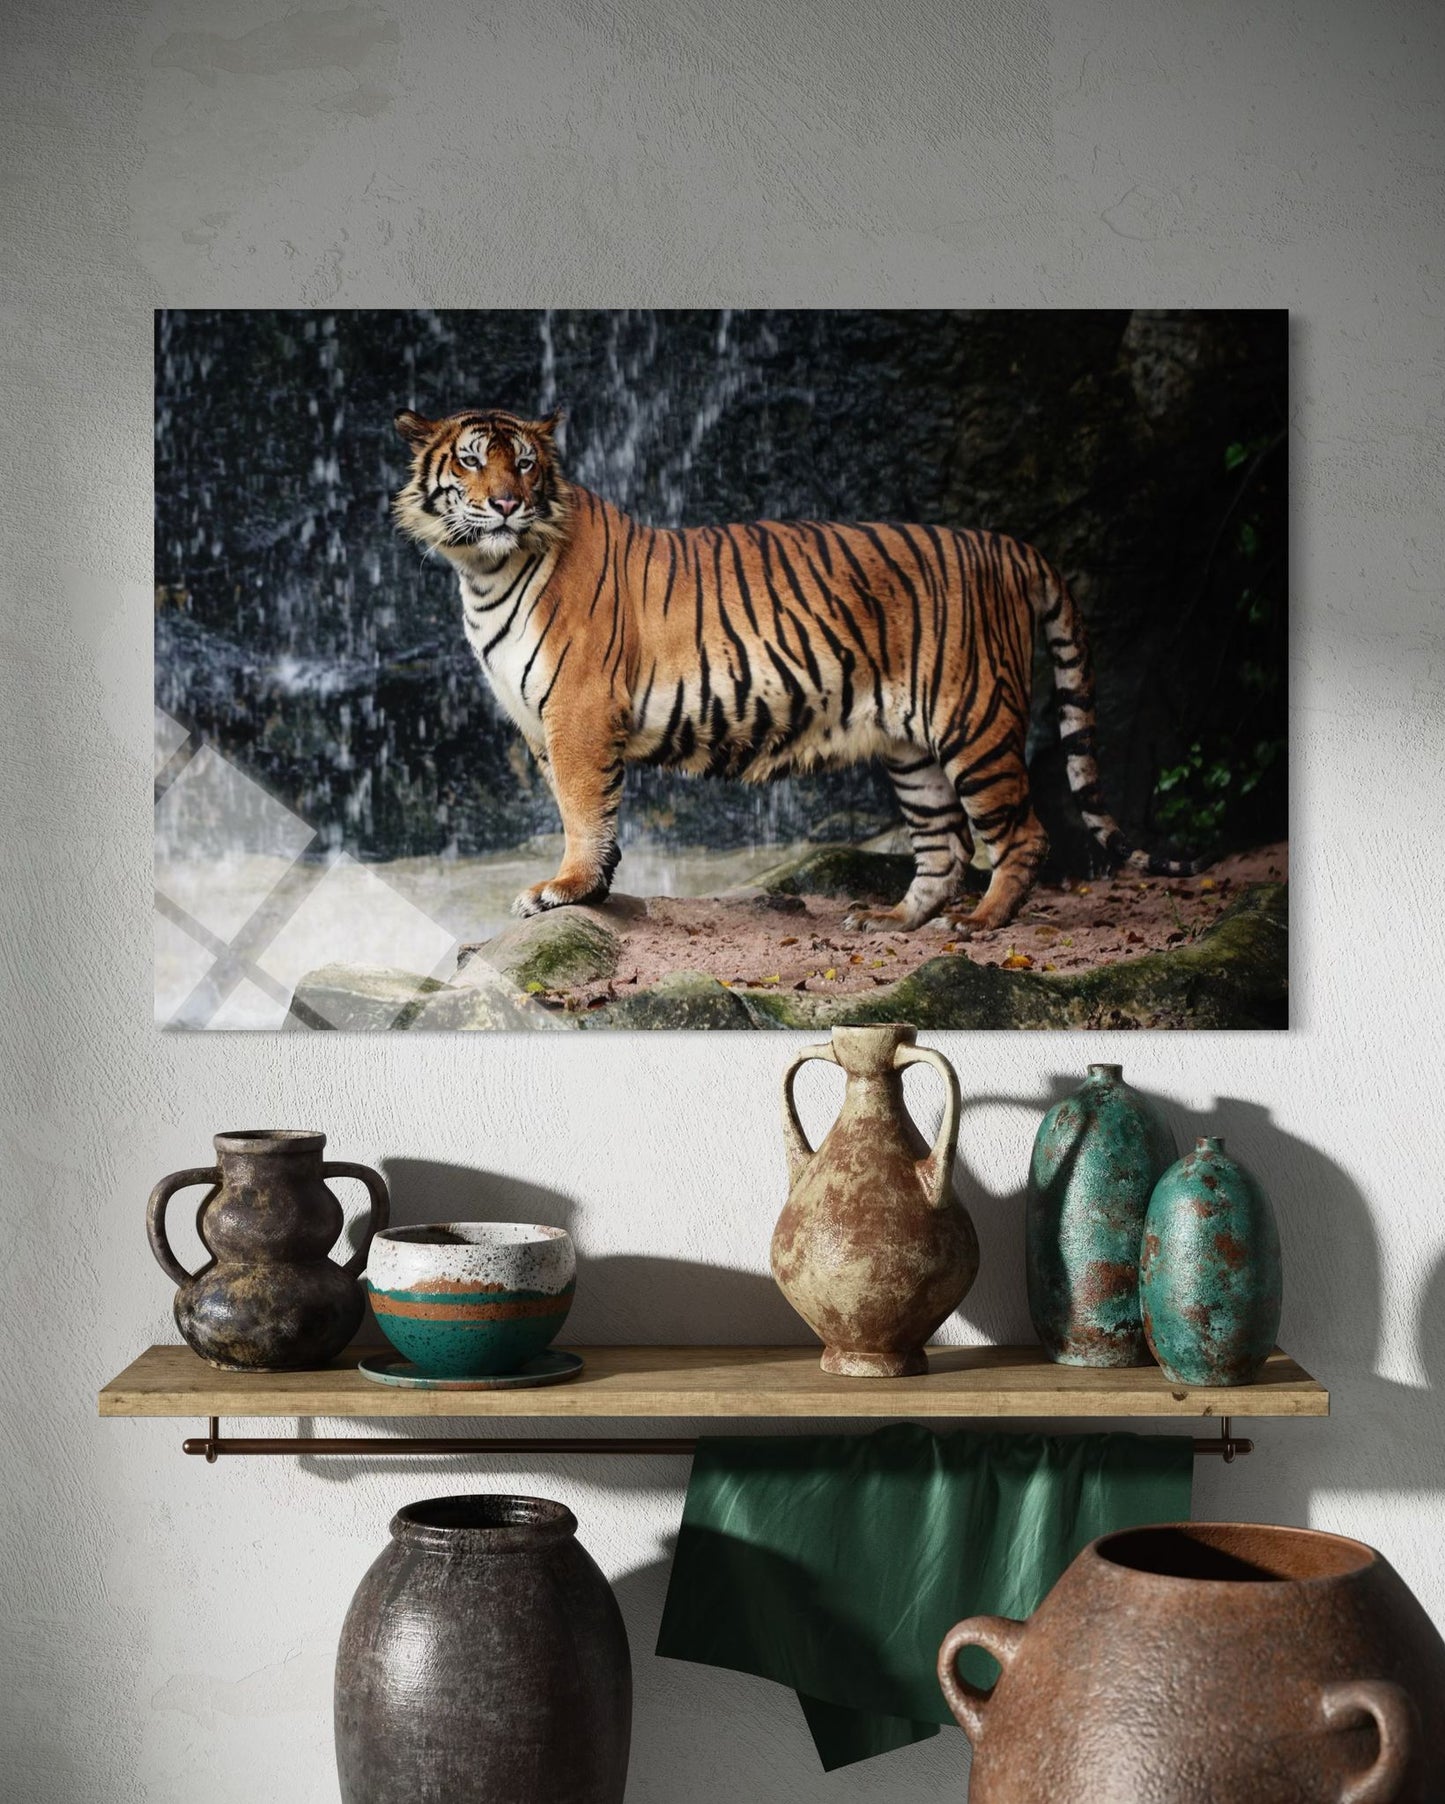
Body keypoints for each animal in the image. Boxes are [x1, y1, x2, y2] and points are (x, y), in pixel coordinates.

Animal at [392, 405, 1194, 933]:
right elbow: (582, 809)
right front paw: (592, 890)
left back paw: (980, 922)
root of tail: (1004, 543)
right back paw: (891, 921)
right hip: (912, 750)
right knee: (944, 846)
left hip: (975, 723)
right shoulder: (540, 725)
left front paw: (566, 889)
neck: (484, 571)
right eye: (471, 458)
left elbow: (583, 812)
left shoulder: (579, 712)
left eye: (525, 463)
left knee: (1020, 834)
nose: (506, 503)